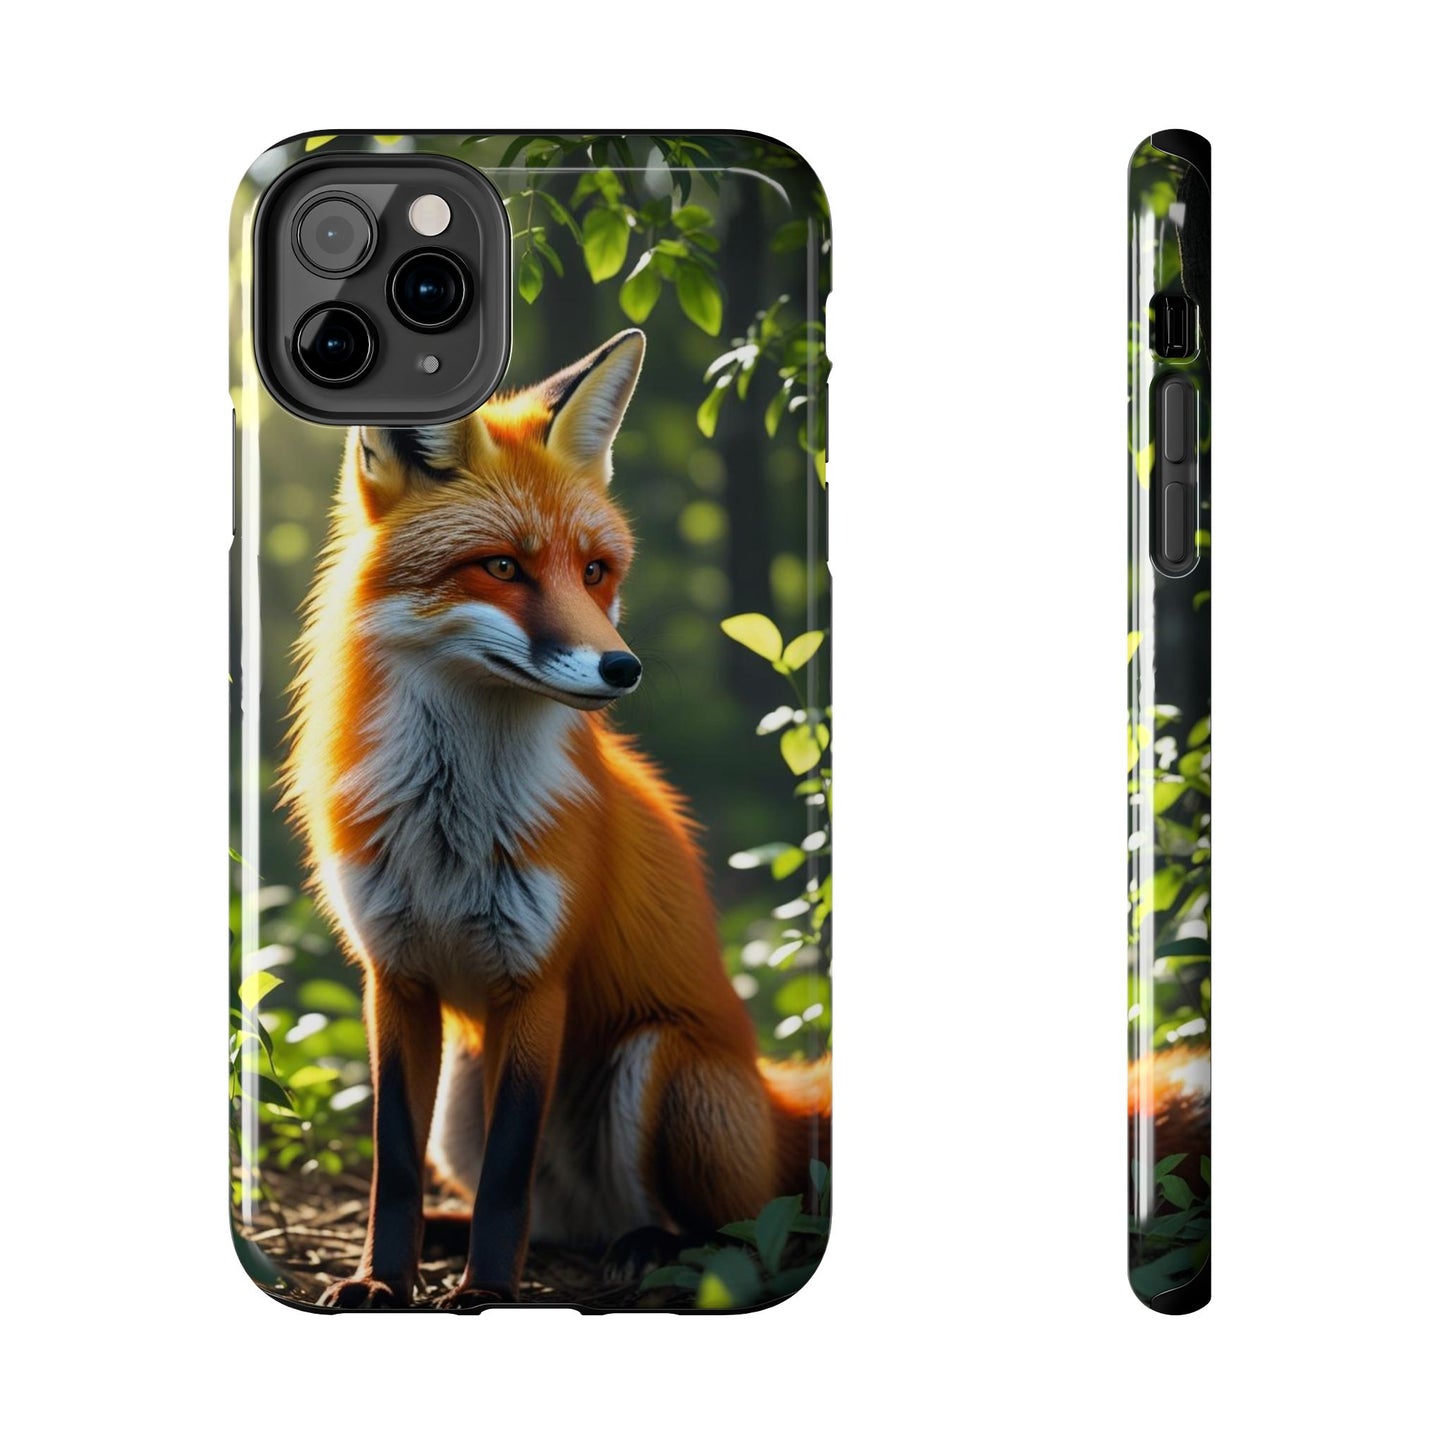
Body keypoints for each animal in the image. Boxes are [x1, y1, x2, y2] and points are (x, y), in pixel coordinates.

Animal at [282, 329, 830, 1309]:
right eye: (502, 566)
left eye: (594, 571)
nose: (623, 668)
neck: (448, 826)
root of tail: (775, 1096)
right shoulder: (395, 977)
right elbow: (394, 1161)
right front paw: (382, 1278)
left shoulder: (535, 980)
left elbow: (508, 1170)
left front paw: (485, 1293)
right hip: (461, 1096)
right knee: (548, 1218)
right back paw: (458, 1231)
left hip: (660, 1068)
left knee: (726, 1228)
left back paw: (647, 1247)